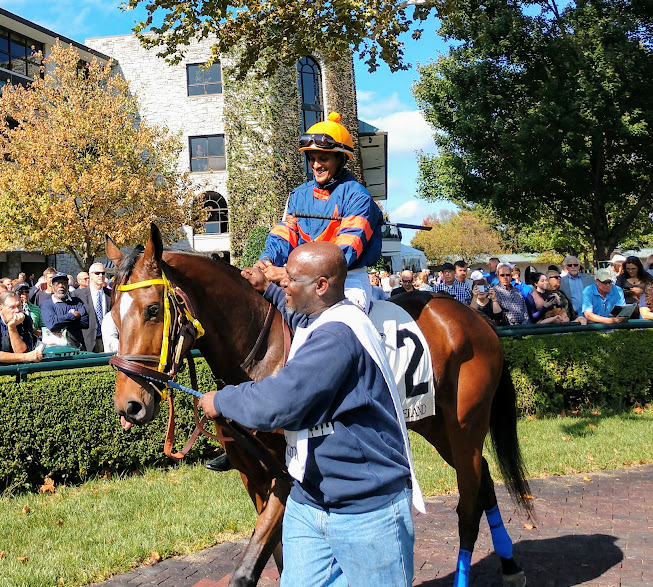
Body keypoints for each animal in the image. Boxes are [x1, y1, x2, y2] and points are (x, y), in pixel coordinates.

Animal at [107, 223, 532, 584]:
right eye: (111, 312)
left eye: (152, 310)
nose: (129, 406)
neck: (260, 356)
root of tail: (474, 317)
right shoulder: (253, 475)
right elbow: (279, 556)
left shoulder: (288, 472)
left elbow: (247, 570)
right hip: (437, 425)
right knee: (483, 480)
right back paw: (511, 566)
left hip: (465, 425)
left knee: (468, 504)